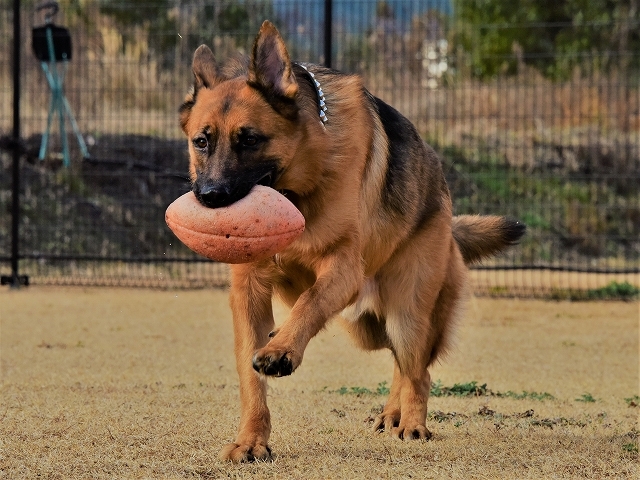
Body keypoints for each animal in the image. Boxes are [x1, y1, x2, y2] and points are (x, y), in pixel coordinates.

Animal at [179, 21, 524, 462]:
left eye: (250, 140)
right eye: (201, 142)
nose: (210, 197)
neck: (301, 183)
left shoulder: (341, 268)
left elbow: (310, 302)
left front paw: (282, 349)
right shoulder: (248, 290)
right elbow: (250, 374)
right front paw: (251, 439)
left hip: (406, 311)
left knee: (418, 370)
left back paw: (412, 423)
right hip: (367, 327)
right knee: (400, 363)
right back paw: (392, 414)